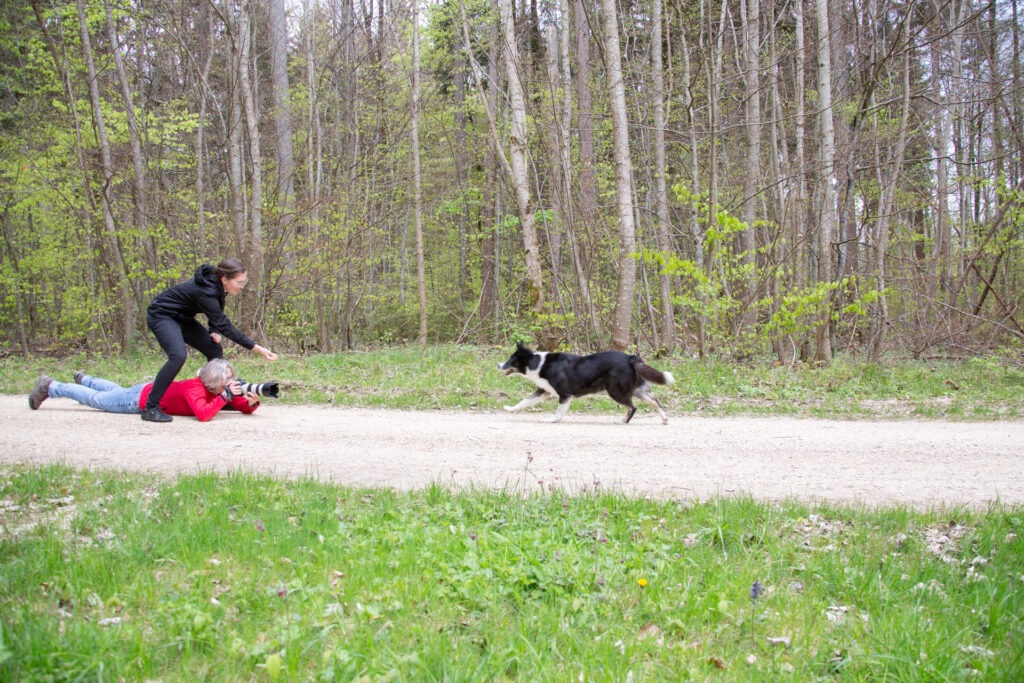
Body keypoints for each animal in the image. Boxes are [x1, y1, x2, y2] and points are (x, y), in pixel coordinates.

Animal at [499, 344, 675, 423]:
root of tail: (631, 358)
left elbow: (559, 411)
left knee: (632, 407)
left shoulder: (564, 394)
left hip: (616, 391)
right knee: (654, 401)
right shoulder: (544, 391)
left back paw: (622, 421)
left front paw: (553, 420)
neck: (538, 364)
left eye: (510, 361)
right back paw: (664, 418)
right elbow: (524, 402)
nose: (498, 365)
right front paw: (510, 409)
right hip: (637, 390)